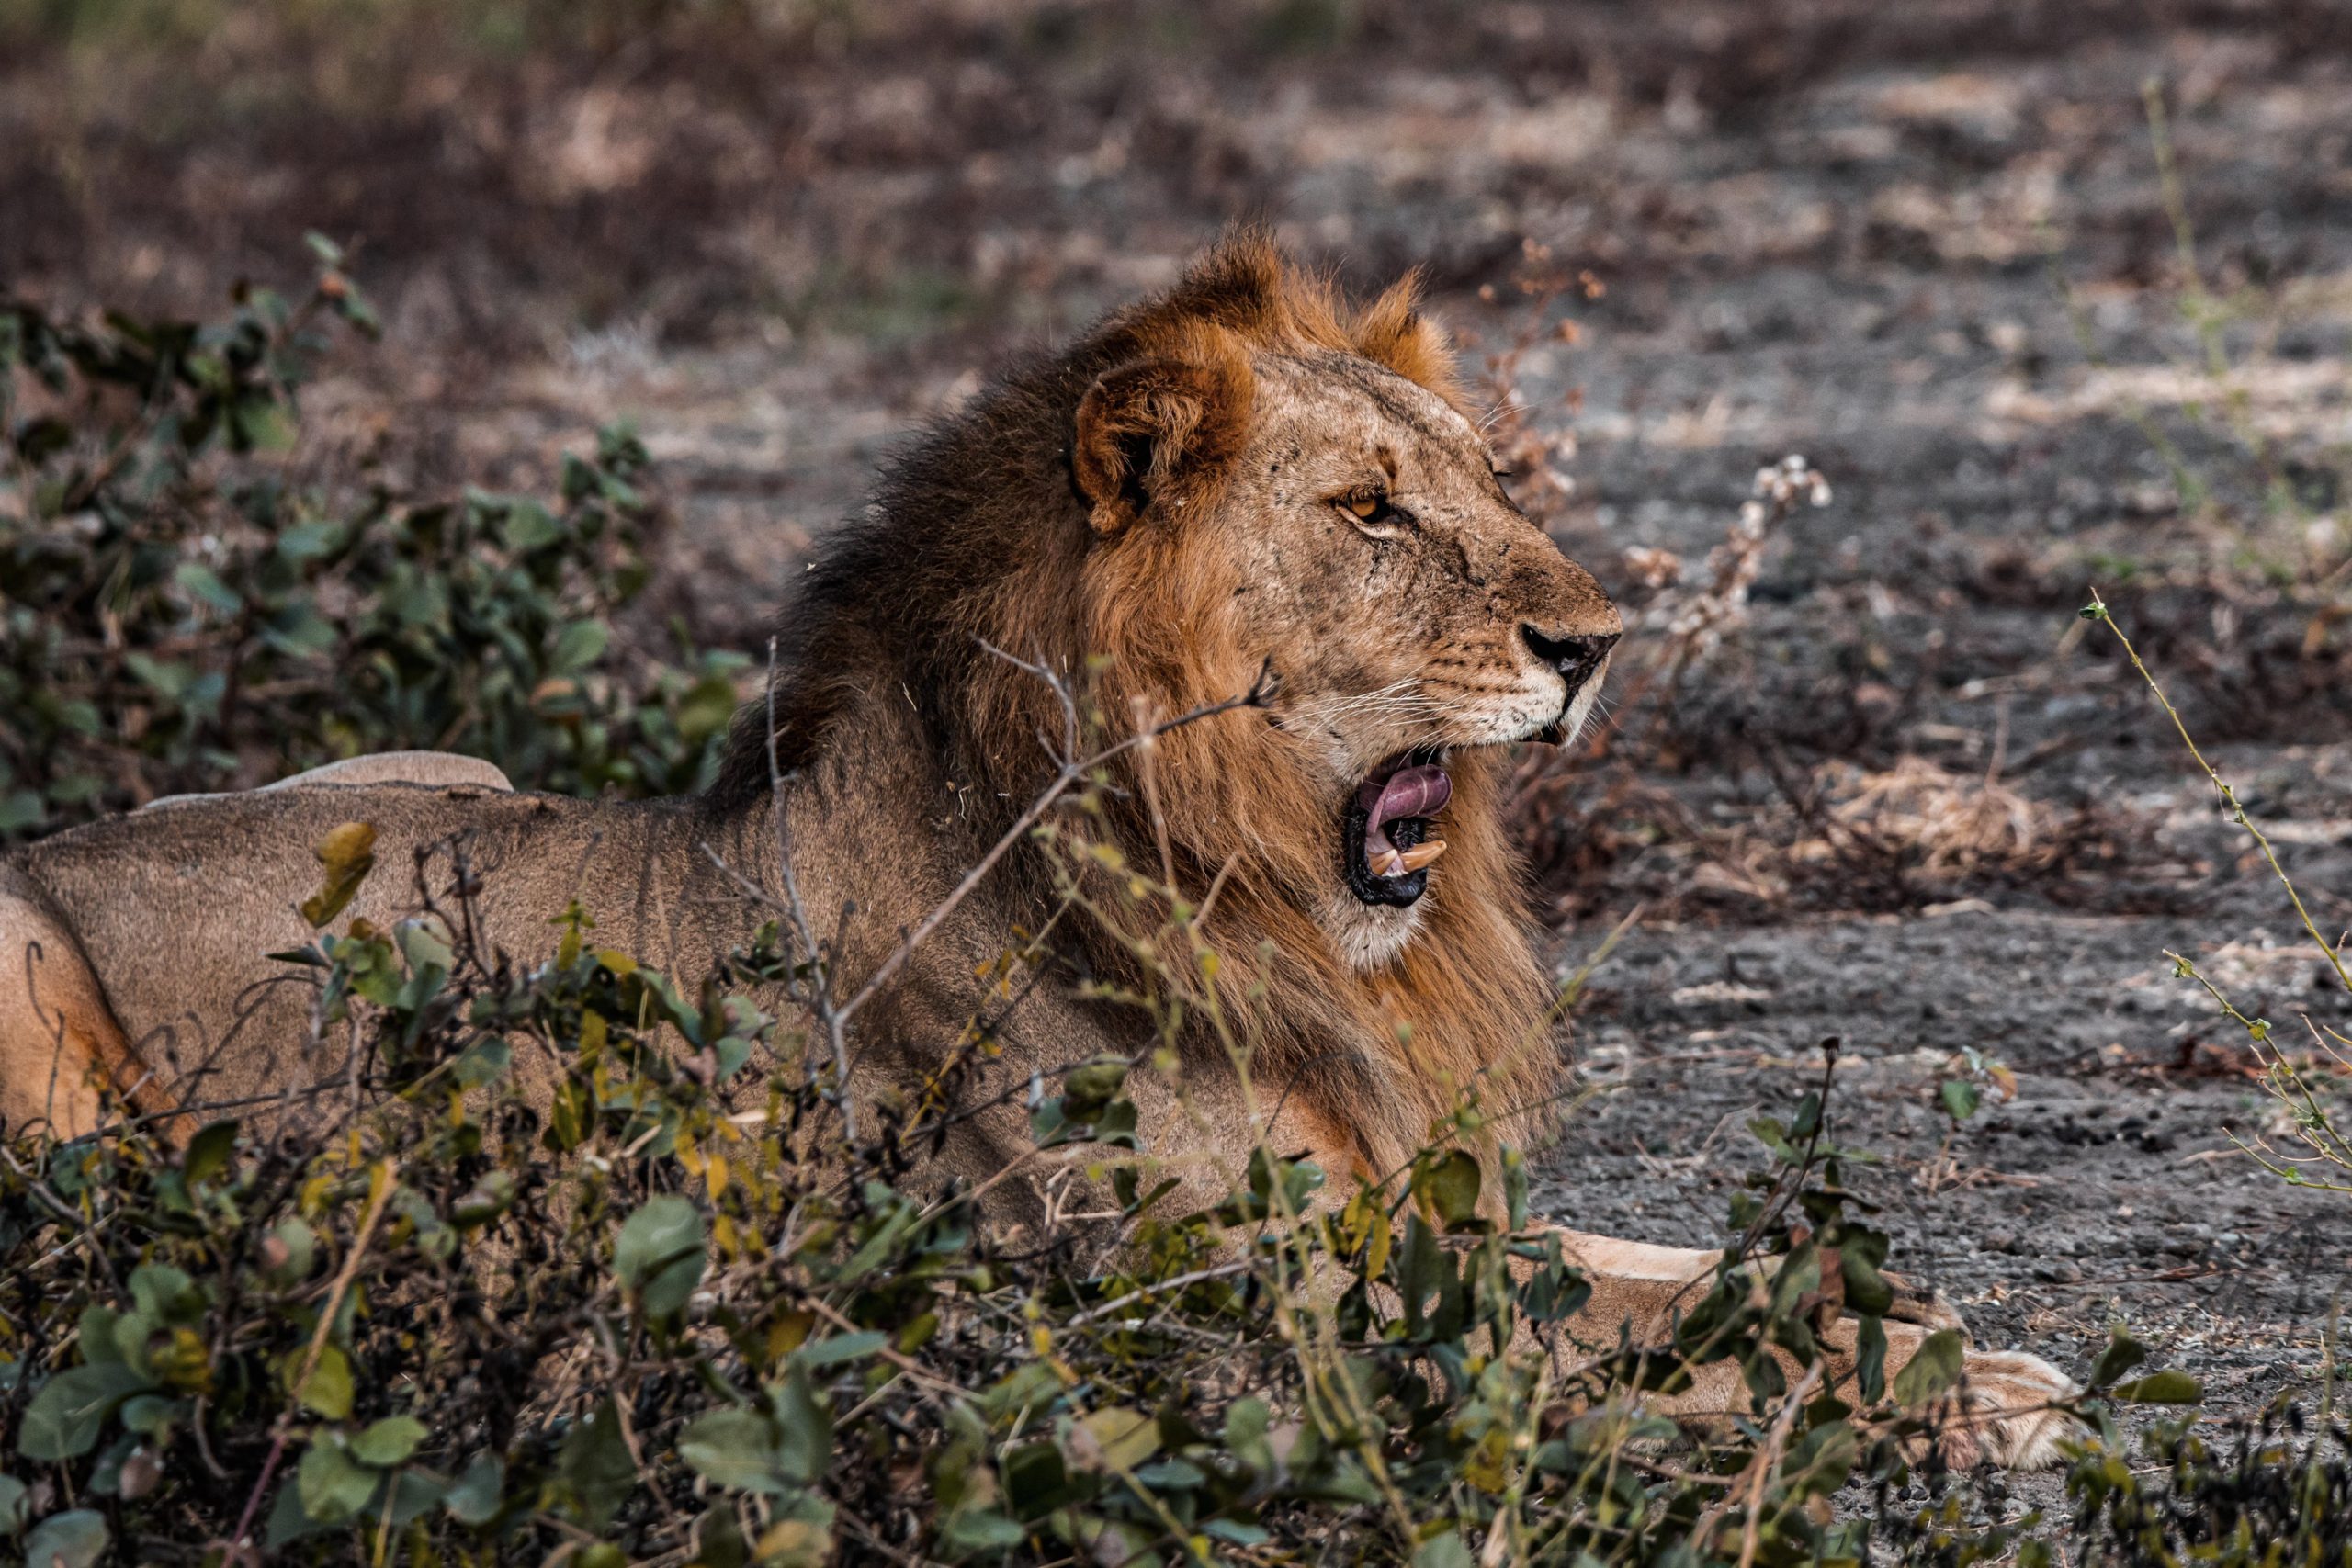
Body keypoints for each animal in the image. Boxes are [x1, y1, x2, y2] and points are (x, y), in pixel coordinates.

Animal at [0, 232, 2077, 1465]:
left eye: (1493, 486)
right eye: (1370, 512)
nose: (1597, 644)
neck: (1251, 899)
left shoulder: (1408, 1218)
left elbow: (1667, 1266)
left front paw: (1941, 1328)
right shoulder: (1264, 1331)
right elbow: (1646, 1344)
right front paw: (1952, 1389)